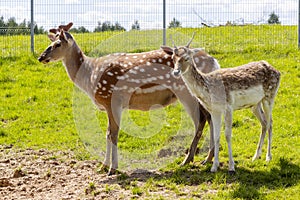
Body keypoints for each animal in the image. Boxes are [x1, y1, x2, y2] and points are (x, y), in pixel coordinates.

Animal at [38, 22, 220, 175]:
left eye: (57, 44)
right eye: (52, 42)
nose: (41, 57)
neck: (89, 77)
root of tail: (214, 61)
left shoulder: (112, 99)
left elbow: (113, 134)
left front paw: (112, 168)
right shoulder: (108, 105)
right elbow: (107, 133)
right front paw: (103, 166)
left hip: (186, 92)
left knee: (201, 120)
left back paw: (187, 160)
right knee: (210, 117)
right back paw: (207, 159)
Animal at [166, 44, 282, 173]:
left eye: (186, 58)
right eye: (173, 58)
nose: (176, 72)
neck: (208, 89)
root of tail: (277, 71)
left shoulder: (228, 107)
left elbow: (227, 135)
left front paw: (231, 167)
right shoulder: (214, 111)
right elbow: (216, 135)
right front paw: (214, 167)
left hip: (269, 97)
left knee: (270, 123)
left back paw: (268, 157)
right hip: (255, 105)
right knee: (264, 123)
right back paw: (256, 156)